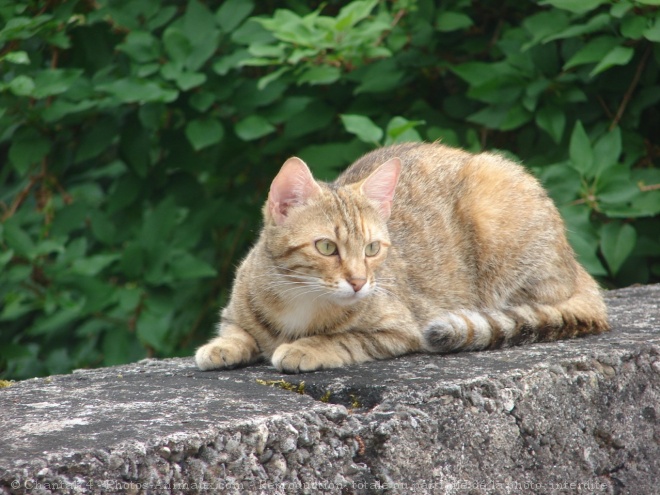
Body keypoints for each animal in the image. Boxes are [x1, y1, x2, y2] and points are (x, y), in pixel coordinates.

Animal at [195, 141, 608, 374]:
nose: (359, 282)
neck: (301, 299)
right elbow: (237, 331)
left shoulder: (401, 328)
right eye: (326, 247)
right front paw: (222, 347)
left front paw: (307, 347)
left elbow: (345, 338)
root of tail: (576, 267)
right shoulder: (234, 311)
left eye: (372, 249)